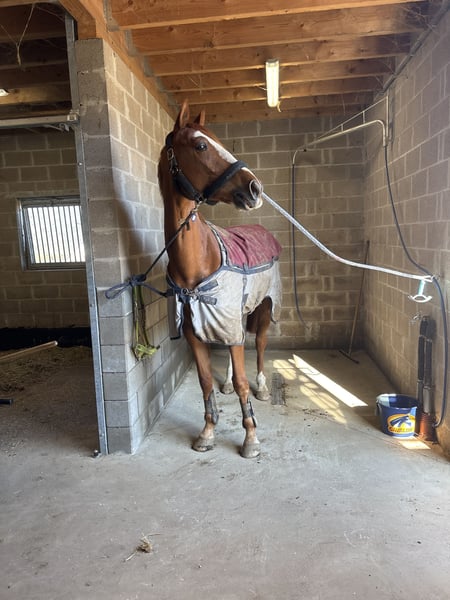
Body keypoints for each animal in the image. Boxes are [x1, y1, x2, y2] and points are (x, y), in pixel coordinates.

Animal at [158, 101, 282, 458]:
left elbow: (243, 382)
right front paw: (207, 432)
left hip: (265, 309)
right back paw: (226, 382)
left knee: (261, 344)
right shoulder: (194, 333)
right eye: (201, 146)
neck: (198, 262)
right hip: (234, 317)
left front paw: (251, 437)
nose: (256, 189)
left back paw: (263, 387)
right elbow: (204, 382)